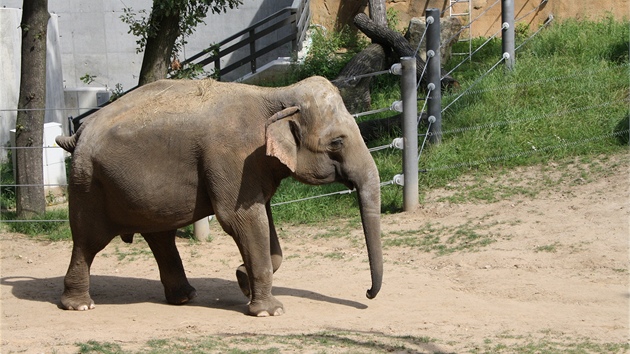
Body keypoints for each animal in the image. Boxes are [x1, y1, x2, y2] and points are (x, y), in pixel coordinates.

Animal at [58, 76, 386, 316]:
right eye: (337, 142)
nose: (368, 294)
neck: (275, 96)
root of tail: (80, 131)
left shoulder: (252, 167)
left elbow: (263, 220)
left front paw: (243, 281)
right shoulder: (233, 158)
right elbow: (240, 219)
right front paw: (270, 311)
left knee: (161, 237)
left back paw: (184, 297)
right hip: (87, 183)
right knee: (88, 241)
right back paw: (80, 305)